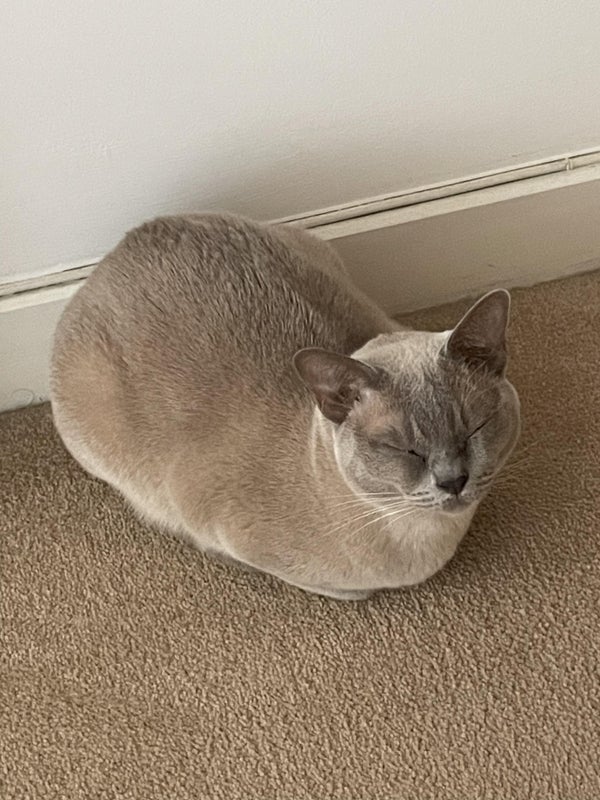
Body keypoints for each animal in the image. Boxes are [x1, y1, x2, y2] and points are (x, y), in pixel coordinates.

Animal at [51, 213, 520, 601]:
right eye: (404, 449)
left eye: (475, 427)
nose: (453, 480)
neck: (430, 542)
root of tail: (130, 239)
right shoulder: (218, 526)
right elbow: (345, 589)